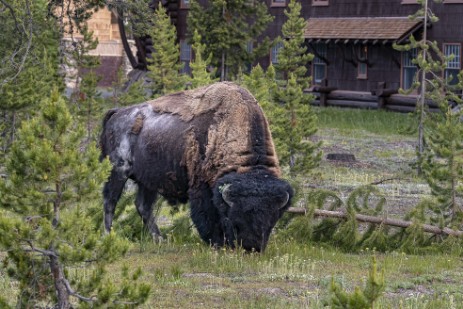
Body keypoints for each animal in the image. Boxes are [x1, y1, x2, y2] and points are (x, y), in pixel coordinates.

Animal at [100, 82, 294, 250]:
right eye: (235, 217)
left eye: (272, 218)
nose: (251, 247)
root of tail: (117, 113)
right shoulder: (201, 186)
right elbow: (207, 215)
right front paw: (216, 243)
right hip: (118, 170)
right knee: (110, 200)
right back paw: (108, 235)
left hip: (147, 181)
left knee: (143, 207)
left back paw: (160, 239)